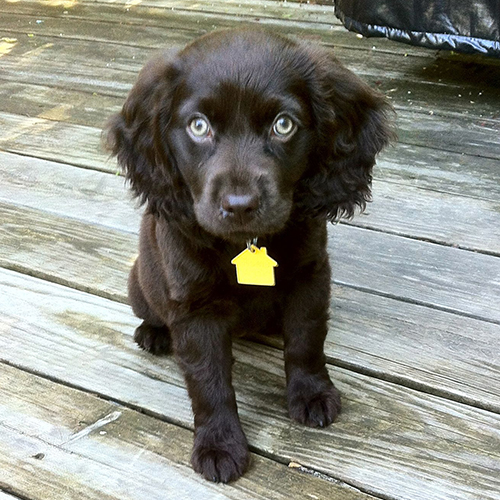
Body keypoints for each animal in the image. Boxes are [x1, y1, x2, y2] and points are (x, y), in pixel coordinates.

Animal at [106, 28, 394, 484]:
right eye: (199, 126)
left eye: (283, 125)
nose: (240, 205)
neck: (245, 243)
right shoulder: (195, 310)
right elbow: (209, 383)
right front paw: (219, 444)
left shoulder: (310, 277)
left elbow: (306, 340)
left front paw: (312, 393)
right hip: (140, 284)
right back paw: (153, 334)